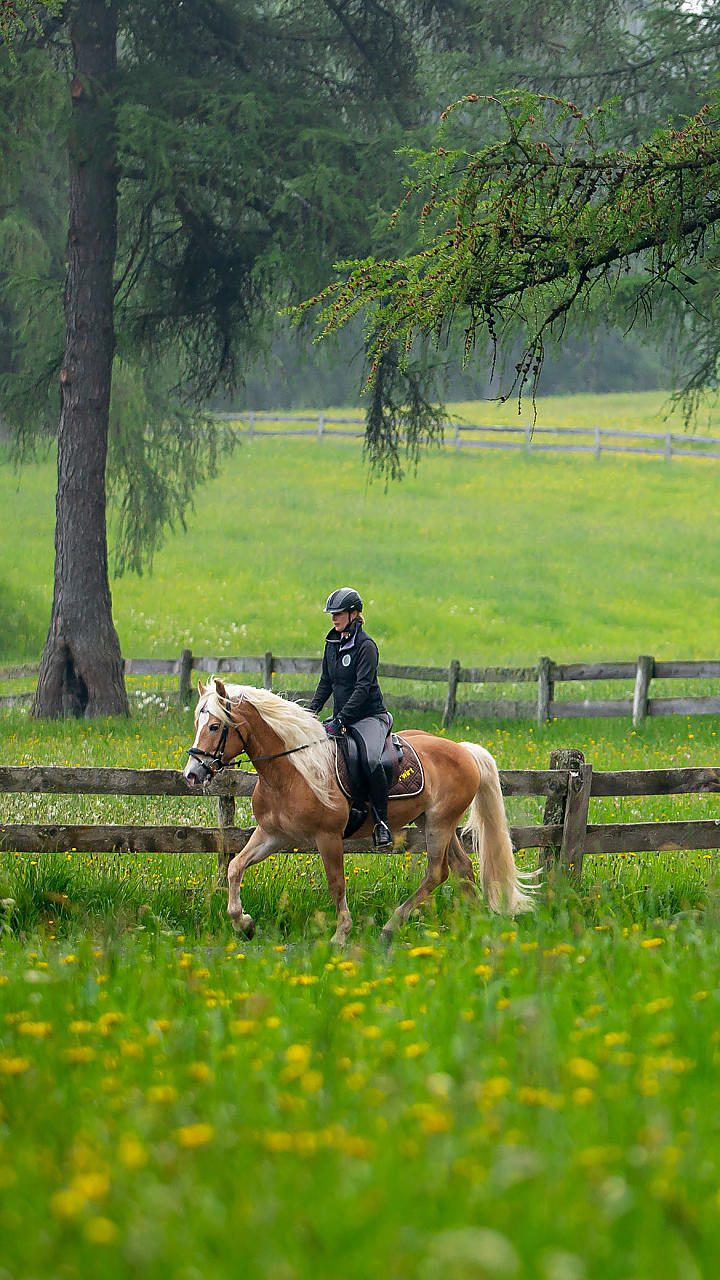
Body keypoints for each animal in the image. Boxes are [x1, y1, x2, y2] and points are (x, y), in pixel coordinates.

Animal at [181, 680, 535, 942]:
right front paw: (244, 923)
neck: (293, 769)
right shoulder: (272, 834)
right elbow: (235, 867)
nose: (192, 774)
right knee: (462, 868)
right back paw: (475, 925)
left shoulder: (327, 837)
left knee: (437, 873)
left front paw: (341, 934)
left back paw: (392, 927)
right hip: (431, 822)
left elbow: (336, 884)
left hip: (439, 824)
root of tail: (461, 749)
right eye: (197, 722)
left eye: (215, 726)